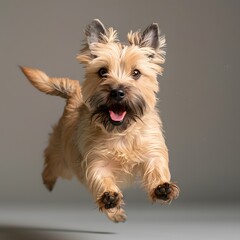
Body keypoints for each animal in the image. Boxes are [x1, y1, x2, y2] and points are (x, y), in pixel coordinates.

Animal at [20, 19, 178, 223]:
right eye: (102, 71)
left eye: (136, 73)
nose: (117, 92)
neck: (121, 132)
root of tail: (75, 94)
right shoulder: (96, 162)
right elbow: (101, 179)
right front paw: (108, 196)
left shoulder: (152, 150)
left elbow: (156, 167)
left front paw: (161, 188)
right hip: (64, 159)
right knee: (51, 158)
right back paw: (48, 180)